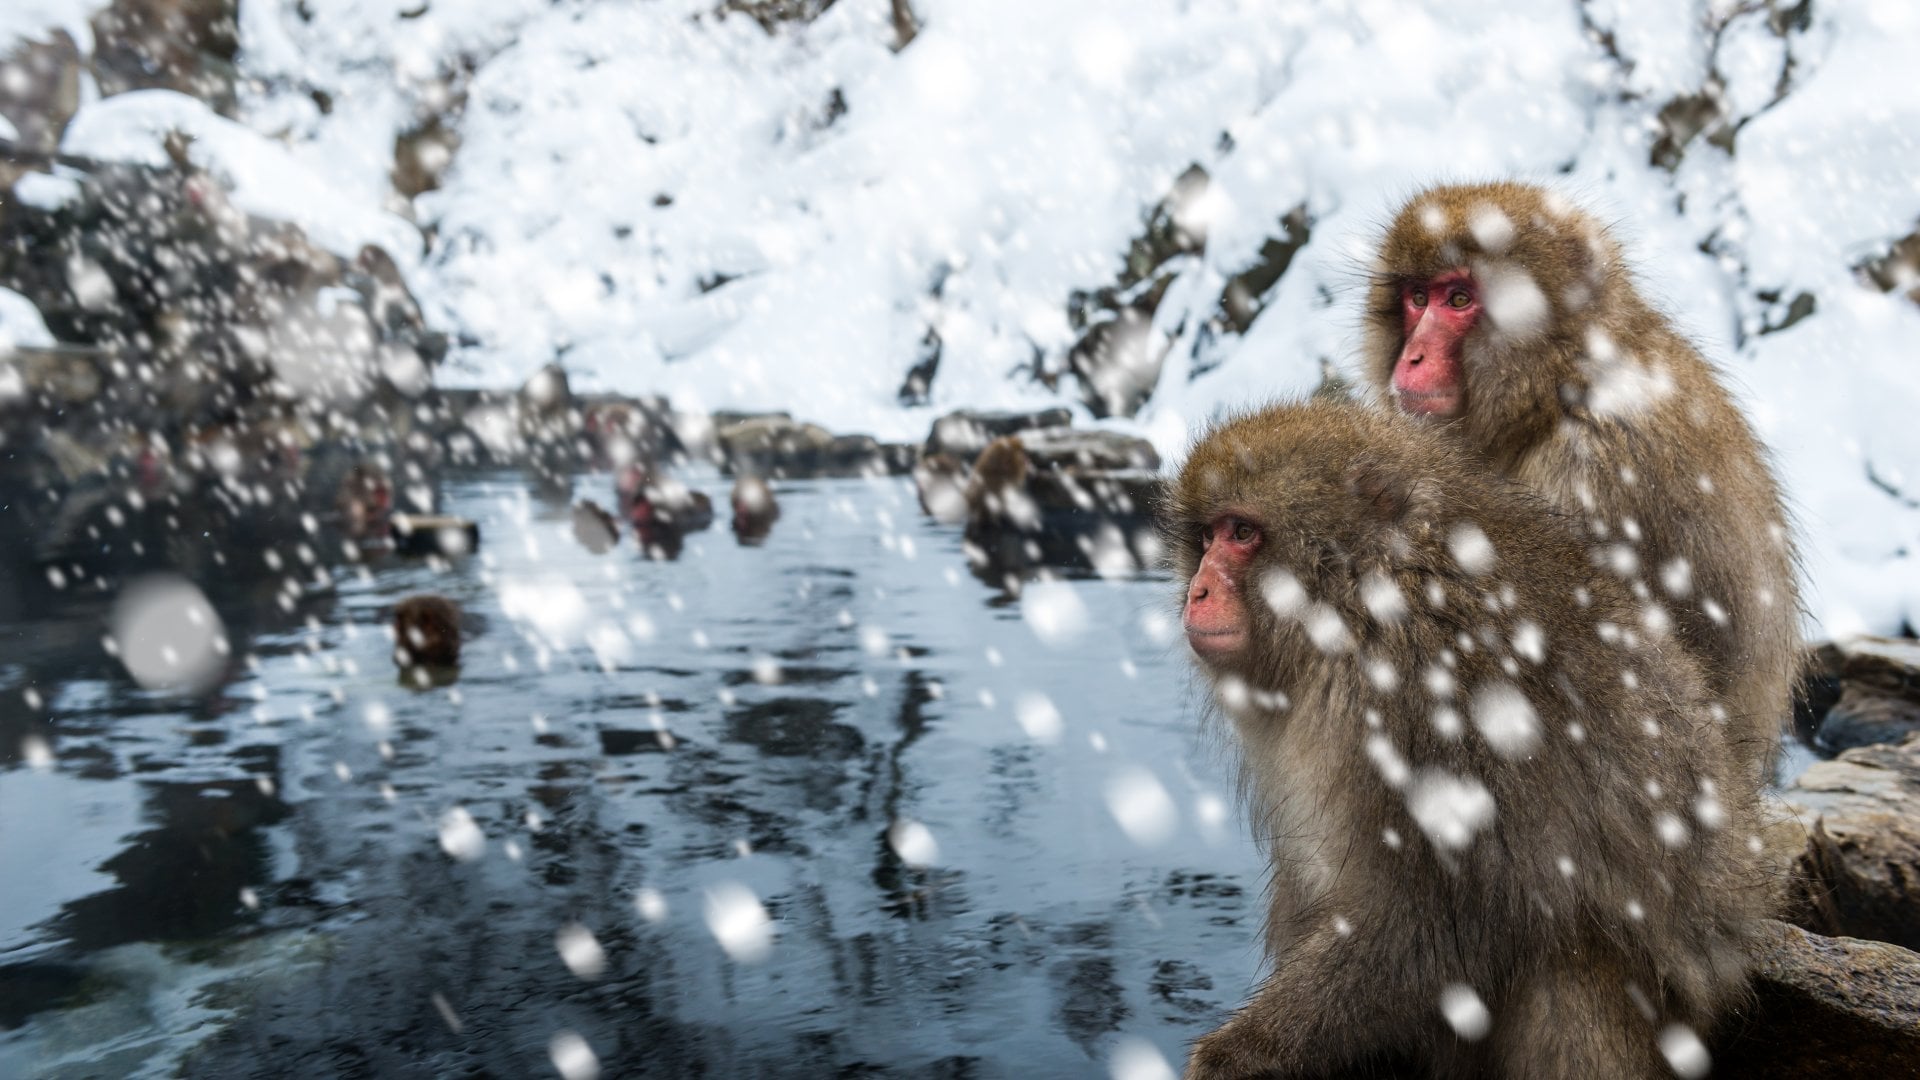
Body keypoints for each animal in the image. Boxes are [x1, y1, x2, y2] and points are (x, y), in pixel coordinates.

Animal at [1167, 399, 1765, 1080]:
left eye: (1242, 533)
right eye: (1207, 536)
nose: (1198, 590)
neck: (1360, 602)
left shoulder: (1431, 694)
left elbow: (1440, 923)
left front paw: (1240, 1055)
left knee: (1567, 958)